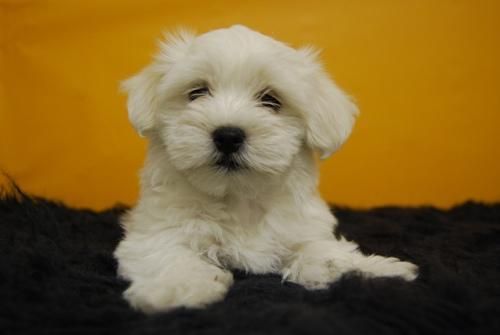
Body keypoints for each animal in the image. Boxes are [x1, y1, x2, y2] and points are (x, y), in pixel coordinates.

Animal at [114, 25, 418, 314]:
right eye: (197, 92)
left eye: (271, 100)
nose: (228, 136)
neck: (238, 198)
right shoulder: (157, 228)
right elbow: (169, 252)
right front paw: (179, 287)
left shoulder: (302, 226)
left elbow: (323, 250)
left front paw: (376, 269)